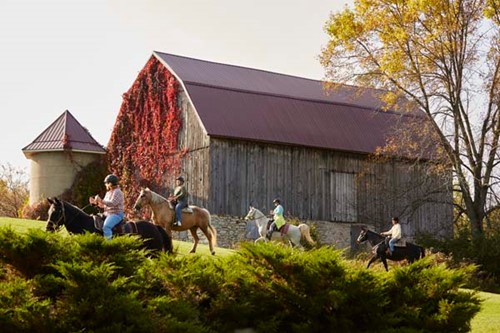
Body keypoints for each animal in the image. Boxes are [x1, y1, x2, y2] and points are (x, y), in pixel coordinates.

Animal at [45, 196, 174, 253]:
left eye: (56, 212)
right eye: (49, 212)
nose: (48, 228)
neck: (85, 224)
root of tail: (155, 227)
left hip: (154, 252)